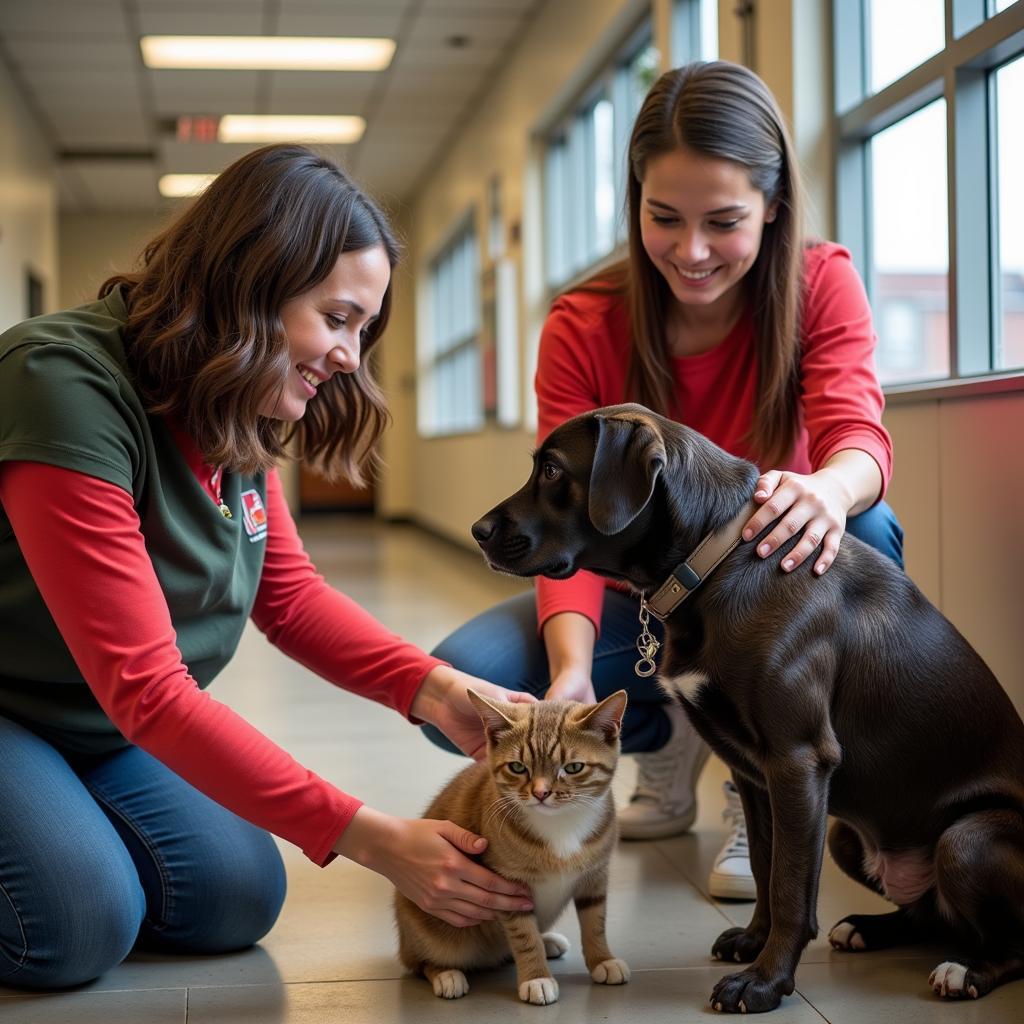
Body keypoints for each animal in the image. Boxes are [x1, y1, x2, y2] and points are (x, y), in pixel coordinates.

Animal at [393, 692, 626, 1003]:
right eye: (518, 767)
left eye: (573, 767)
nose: (541, 793)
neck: (560, 825)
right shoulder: (509, 889)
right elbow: (525, 937)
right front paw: (536, 977)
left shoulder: (595, 876)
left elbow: (595, 922)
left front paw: (603, 960)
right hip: (435, 935)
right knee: (420, 963)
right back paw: (446, 975)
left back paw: (547, 940)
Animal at [471, 403, 1024, 1011]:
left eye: (551, 471)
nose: (477, 532)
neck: (717, 559)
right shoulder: (755, 773)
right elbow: (764, 863)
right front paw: (754, 942)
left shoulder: (798, 761)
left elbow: (788, 884)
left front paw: (765, 981)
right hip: (845, 836)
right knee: (929, 917)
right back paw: (866, 927)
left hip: (965, 840)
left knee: (1007, 942)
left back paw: (966, 970)